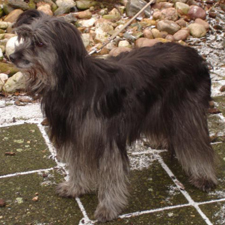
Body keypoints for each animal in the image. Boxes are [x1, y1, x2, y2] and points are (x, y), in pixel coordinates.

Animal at [10, 12, 216, 223]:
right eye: (25, 38)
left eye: (40, 43)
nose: (11, 56)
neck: (73, 86)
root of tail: (195, 56)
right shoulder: (77, 137)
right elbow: (78, 166)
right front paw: (75, 188)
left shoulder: (107, 142)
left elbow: (111, 175)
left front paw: (108, 208)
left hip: (187, 112)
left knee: (198, 145)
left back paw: (204, 177)